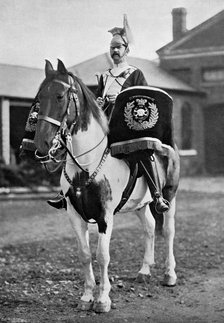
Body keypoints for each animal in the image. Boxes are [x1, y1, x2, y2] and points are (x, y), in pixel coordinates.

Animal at [33, 58, 180, 314]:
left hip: (169, 196)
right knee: (150, 228)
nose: (41, 144)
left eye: (60, 96)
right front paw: (86, 297)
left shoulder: (105, 217)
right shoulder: (74, 215)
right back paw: (144, 271)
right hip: (140, 204)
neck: (86, 164)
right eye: (40, 97)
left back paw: (169, 275)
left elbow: (102, 255)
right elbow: (84, 254)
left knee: (168, 230)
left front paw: (102, 299)